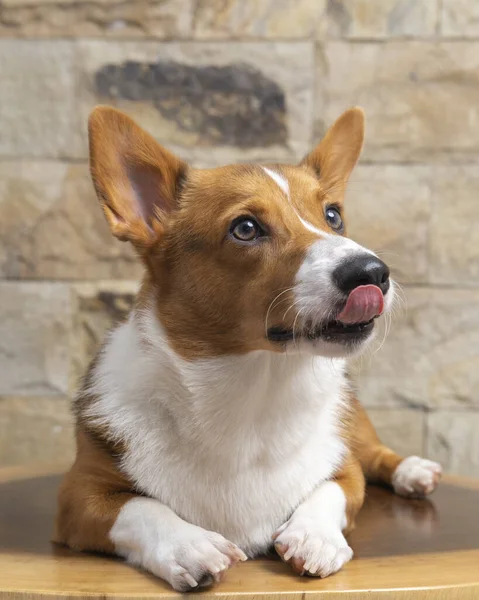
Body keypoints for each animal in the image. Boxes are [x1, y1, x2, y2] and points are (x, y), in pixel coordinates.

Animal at [55, 106, 442, 592]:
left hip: (358, 429)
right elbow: (141, 507)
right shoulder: (78, 497)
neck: (255, 390)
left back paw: (414, 471)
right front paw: (191, 545)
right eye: (245, 228)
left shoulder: (345, 471)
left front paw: (313, 536)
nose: (372, 272)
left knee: (376, 455)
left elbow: (330, 490)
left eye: (333, 215)